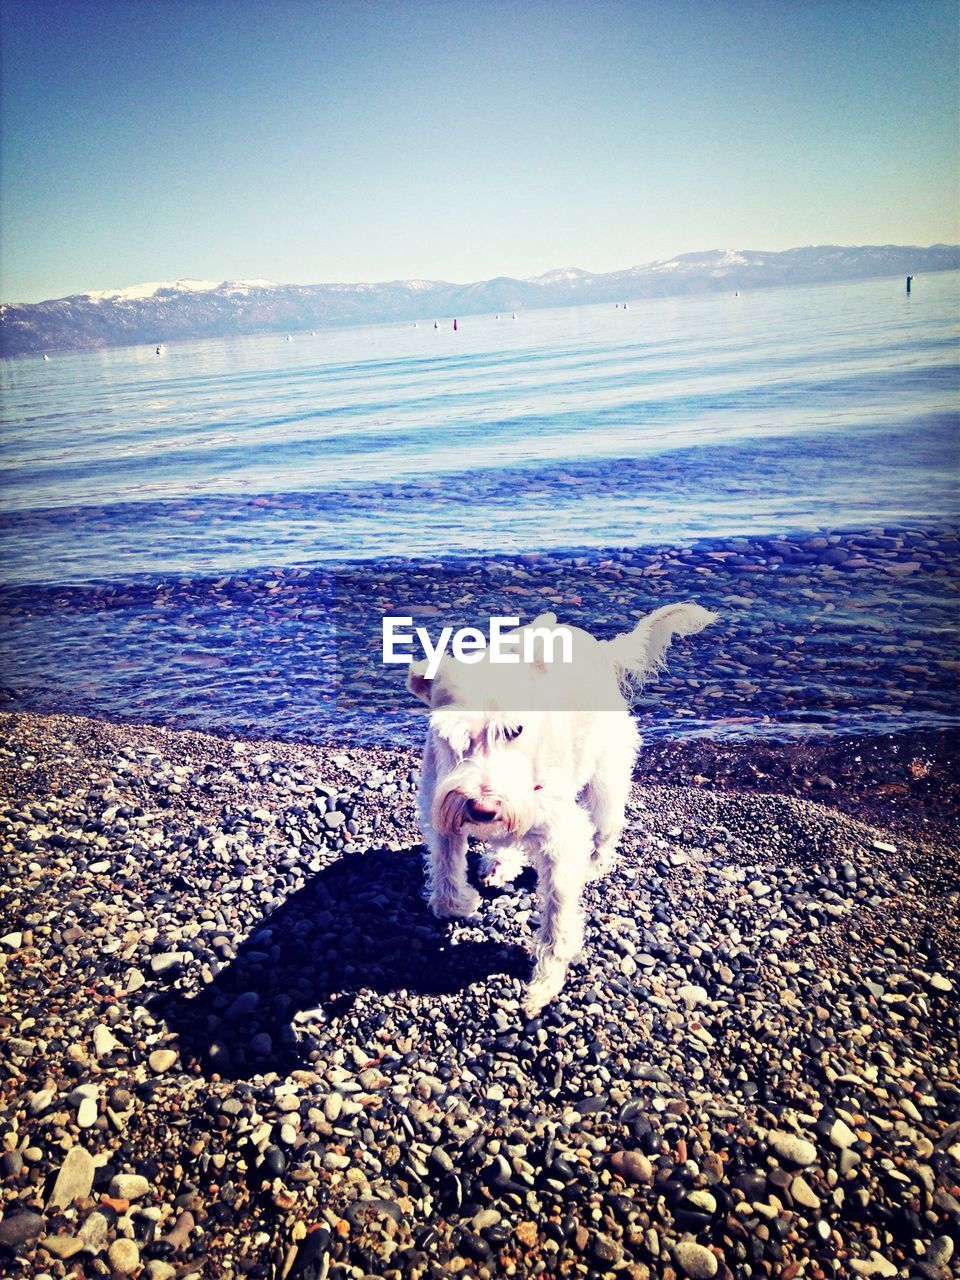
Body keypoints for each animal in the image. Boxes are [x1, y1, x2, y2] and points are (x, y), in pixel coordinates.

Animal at [409, 601, 716, 1018]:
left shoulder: (561, 839)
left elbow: (558, 916)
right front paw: (463, 901)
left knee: (607, 826)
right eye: (453, 735)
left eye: (515, 730)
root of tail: (601, 650)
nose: (484, 808)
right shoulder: (440, 809)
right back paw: (501, 861)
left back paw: (596, 863)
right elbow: (443, 880)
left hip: (605, 781)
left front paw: (545, 981)